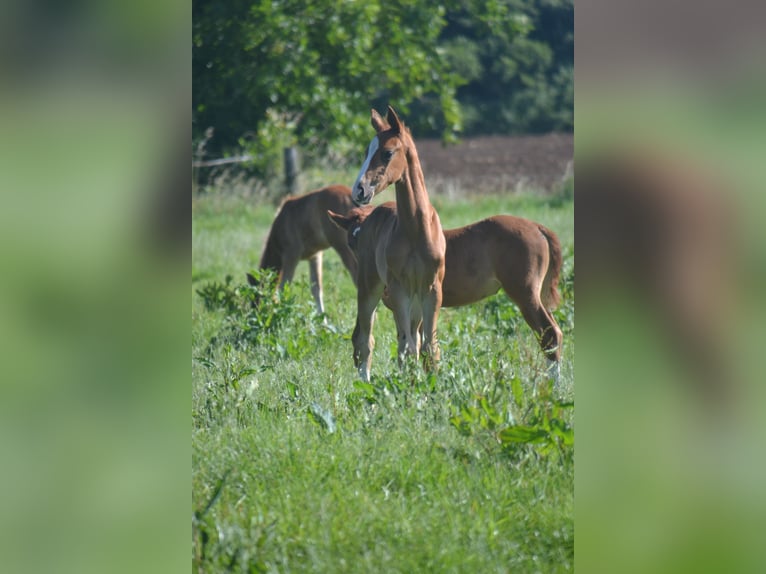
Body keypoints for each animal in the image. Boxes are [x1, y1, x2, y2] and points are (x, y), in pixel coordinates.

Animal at [249, 184, 360, 318]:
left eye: (257, 297)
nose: (255, 313)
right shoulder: (315, 256)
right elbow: (316, 289)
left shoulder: (291, 254)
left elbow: (284, 286)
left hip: (343, 248)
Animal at [330, 205, 564, 384]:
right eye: (350, 241)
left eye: (359, 240)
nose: (362, 269)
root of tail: (539, 228)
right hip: (538, 298)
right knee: (556, 331)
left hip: (525, 295)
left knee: (549, 334)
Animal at [346, 105, 448, 380]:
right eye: (366, 152)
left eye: (387, 153)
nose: (358, 190)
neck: (416, 230)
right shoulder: (399, 288)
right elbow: (406, 347)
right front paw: (408, 386)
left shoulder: (432, 289)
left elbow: (429, 346)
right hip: (370, 287)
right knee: (365, 339)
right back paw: (365, 382)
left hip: (414, 300)